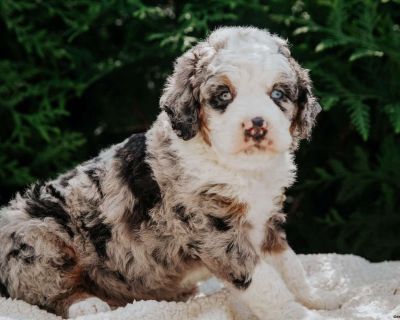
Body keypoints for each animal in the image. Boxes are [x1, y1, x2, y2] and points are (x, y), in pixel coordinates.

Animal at [1, 28, 342, 320]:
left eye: (279, 94)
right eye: (223, 95)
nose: (256, 126)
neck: (241, 169)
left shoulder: (267, 222)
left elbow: (291, 267)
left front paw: (319, 298)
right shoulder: (218, 234)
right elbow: (269, 286)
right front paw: (303, 315)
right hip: (39, 237)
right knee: (45, 289)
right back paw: (86, 303)